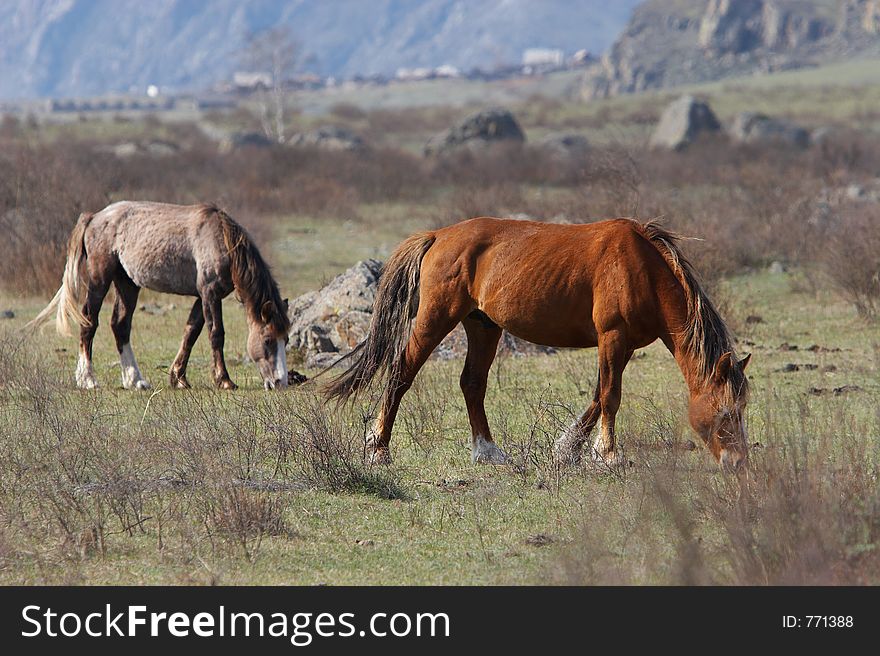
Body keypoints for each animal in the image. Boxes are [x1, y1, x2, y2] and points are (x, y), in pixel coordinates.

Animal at [26, 201, 288, 390]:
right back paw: (88, 379)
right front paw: (224, 380)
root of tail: (94, 217)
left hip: (127, 283)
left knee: (120, 326)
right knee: (89, 321)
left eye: (285, 340)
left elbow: (190, 333)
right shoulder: (210, 293)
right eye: (267, 340)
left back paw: (135, 380)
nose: (280, 382)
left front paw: (178, 378)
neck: (220, 240)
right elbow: (216, 334)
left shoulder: (201, 297)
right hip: (99, 278)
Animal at [326, 220, 752, 472]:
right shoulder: (612, 337)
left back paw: (488, 452)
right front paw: (608, 454)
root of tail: (438, 236)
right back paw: (378, 448)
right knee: (401, 374)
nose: (737, 462)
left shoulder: (624, 345)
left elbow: (597, 395)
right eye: (725, 412)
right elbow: (610, 396)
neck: (641, 267)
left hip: (483, 326)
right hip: (435, 319)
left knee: (472, 384)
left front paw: (568, 449)